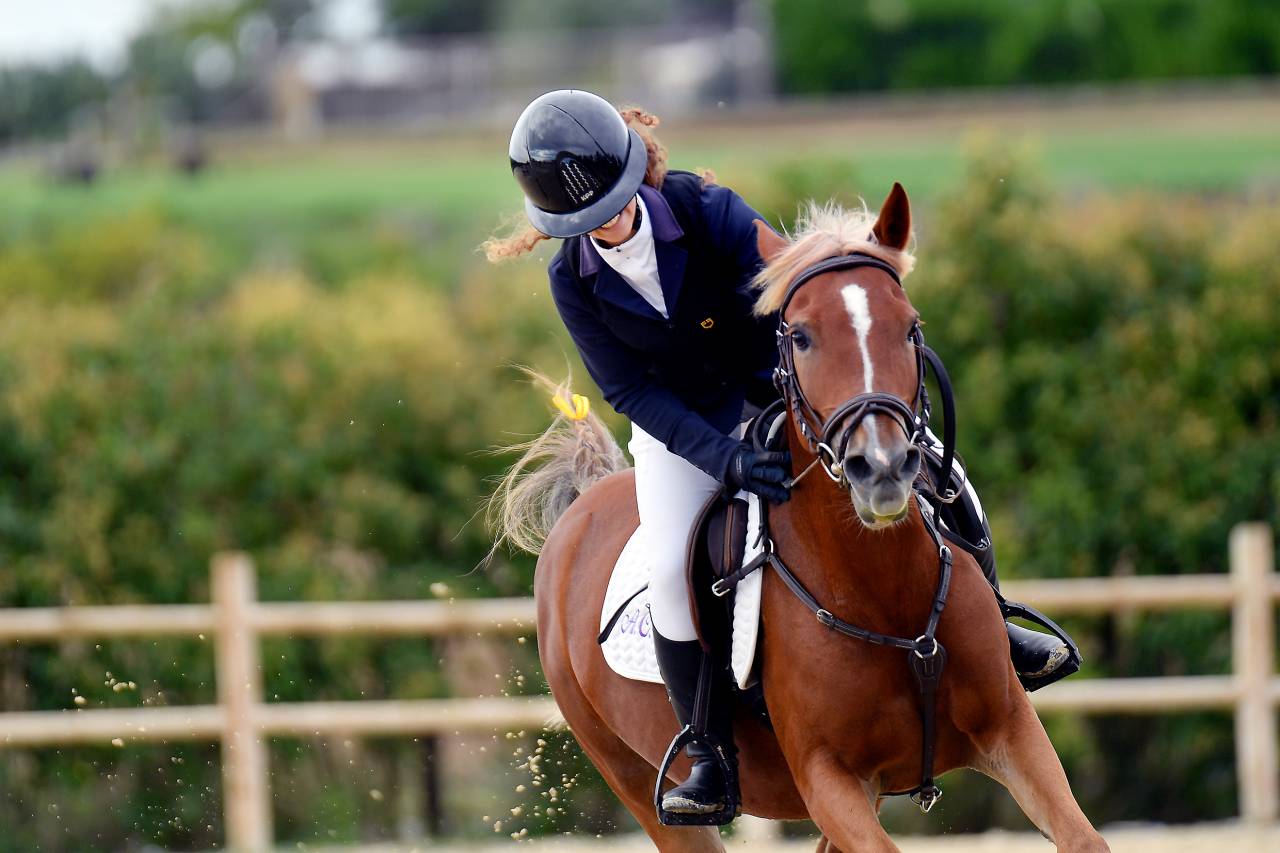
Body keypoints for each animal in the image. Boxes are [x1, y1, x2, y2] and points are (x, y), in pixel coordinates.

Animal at [491, 183, 1110, 852]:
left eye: (911, 328)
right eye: (803, 337)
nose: (881, 467)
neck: (882, 592)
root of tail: (582, 508)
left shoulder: (1009, 730)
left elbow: (1084, 839)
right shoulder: (828, 779)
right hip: (633, 779)